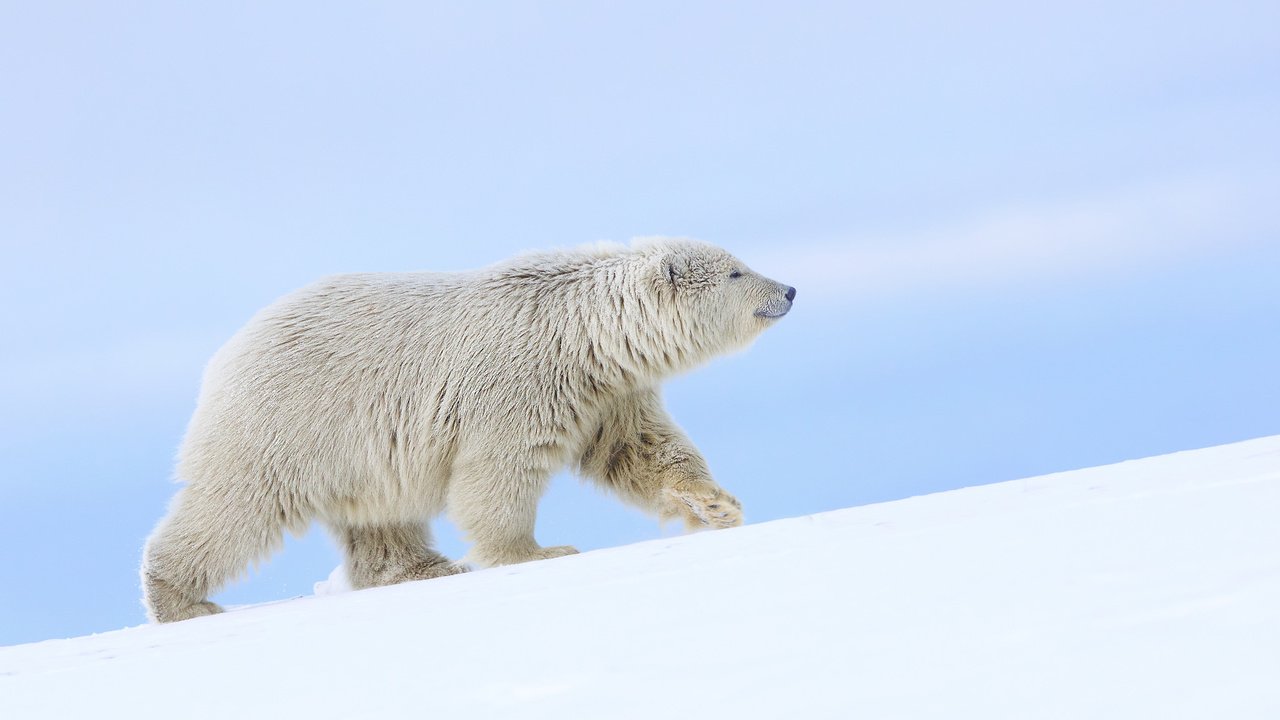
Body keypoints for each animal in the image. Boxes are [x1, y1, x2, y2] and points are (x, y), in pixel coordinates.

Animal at [145, 238, 793, 620]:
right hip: (290, 422)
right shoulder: (516, 382)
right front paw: (538, 551)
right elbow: (497, 472)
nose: (787, 289)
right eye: (736, 271)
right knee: (235, 507)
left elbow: (642, 450)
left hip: (361, 451)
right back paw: (180, 600)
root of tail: (226, 353)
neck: (583, 334)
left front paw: (717, 506)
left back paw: (425, 567)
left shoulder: (608, 393)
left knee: (380, 516)